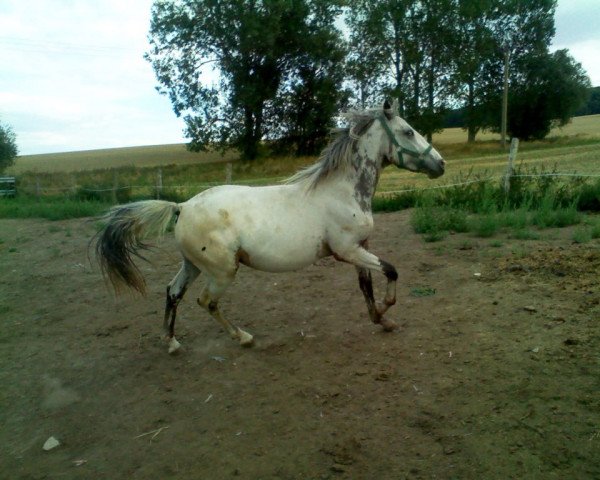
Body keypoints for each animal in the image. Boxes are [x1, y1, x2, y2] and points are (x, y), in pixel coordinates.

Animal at [95, 100, 446, 352]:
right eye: (408, 132)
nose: (440, 164)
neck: (341, 192)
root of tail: (181, 207)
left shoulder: (361, 248)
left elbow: (367, 286)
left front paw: (382, 321)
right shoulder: (347, 251)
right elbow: (391, 271)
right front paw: (387, 310)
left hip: (192, 265)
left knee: (173, 292)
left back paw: (171, 342)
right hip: (222, 271)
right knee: (206, 302)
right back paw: (244, 337)